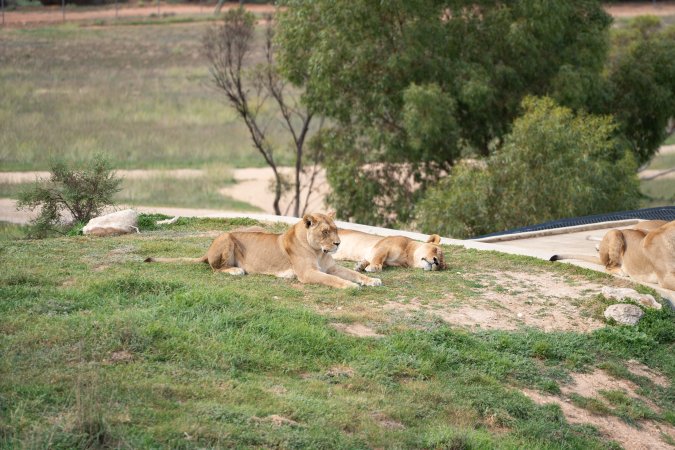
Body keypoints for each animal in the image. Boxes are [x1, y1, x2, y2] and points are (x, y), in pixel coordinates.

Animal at [144, 212, 382, 289]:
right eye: (325, 232)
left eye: (336, 230)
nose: (338, 243)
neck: (319, 251)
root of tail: (208, 248)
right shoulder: (307, 273)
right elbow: (333, 280)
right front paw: (350, 286)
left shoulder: (331, 267)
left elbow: (352, 273)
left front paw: (371, 280)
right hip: (227, 237)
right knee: (215, 268)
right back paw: (235, 270)